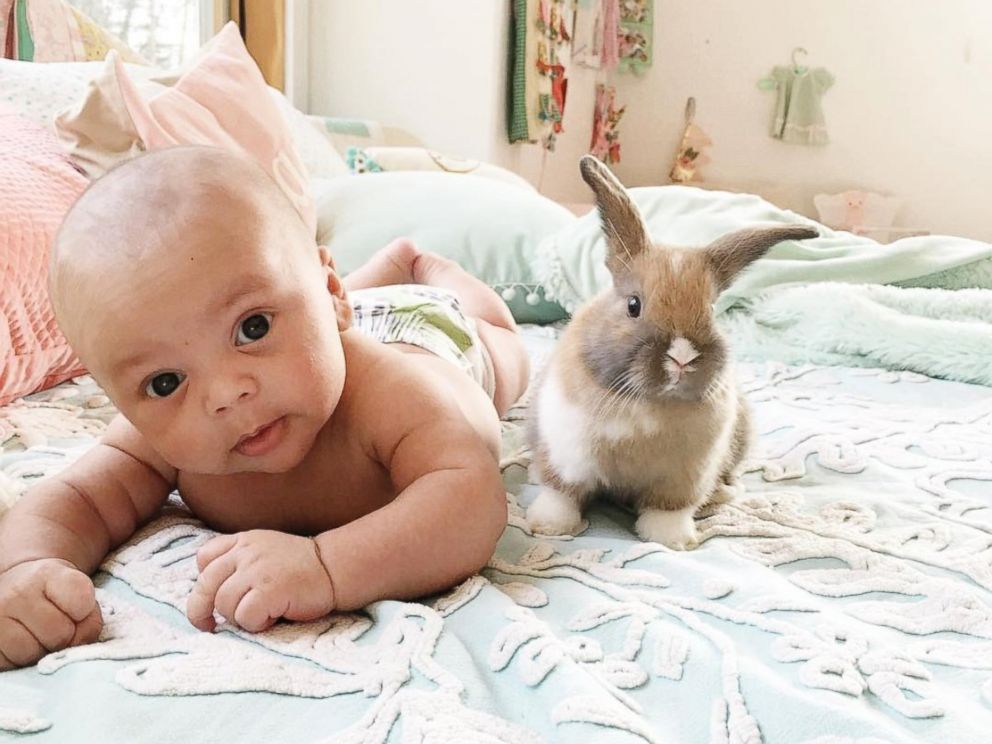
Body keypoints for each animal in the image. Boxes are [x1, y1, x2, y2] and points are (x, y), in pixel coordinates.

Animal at [524, 155, 816, 552]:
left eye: (712, 309)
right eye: (633, 305)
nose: (682, 357)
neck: (647, 404)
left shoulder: (683, 479)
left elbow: (669, 511)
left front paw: (673, 542)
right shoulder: (567, 455)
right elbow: (561, 495)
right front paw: (548, 527)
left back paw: (724, 494)